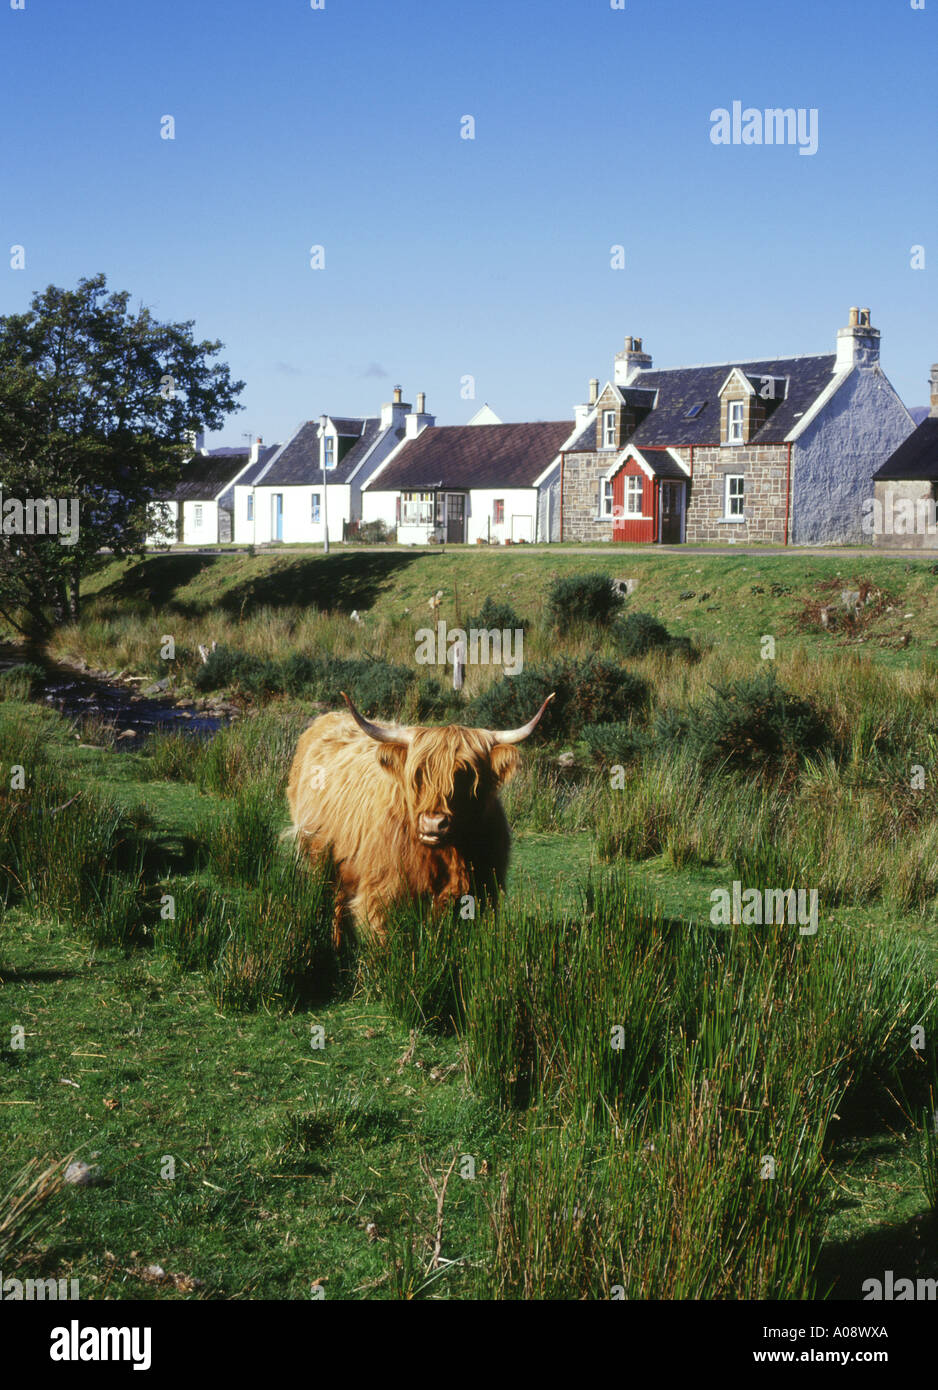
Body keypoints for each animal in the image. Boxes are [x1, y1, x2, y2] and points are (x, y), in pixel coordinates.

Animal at [282, 686, 553, 939]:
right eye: (418, 774)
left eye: (465, 774)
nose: (433, 823)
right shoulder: (381, 895)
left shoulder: (482, 893)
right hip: (320, 860)